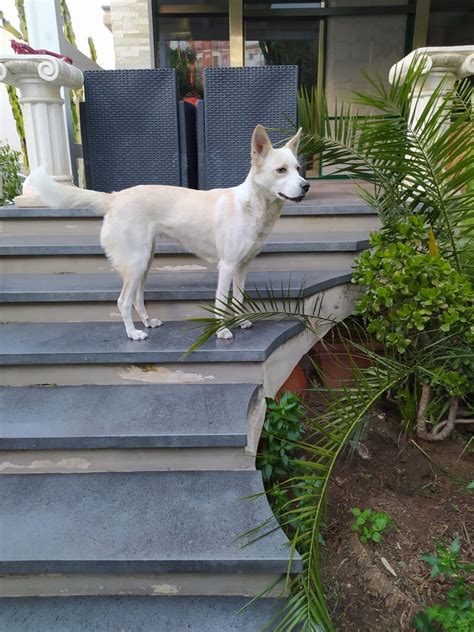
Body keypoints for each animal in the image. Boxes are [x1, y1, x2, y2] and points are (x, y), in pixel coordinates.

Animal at [26, 124, 308, 340]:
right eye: (281, 170)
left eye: (298, 169)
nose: (306, 186)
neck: (251, 206)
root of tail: (115, 197)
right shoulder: (227, 266)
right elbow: (220, 302)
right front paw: (222, 331)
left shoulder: (242, 267)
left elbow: (237, 300)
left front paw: (241, 321)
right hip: (137, 263)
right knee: (123, 301)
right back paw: (133, 334)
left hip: (144, 263)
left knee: (137, 298)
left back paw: (148, 322)